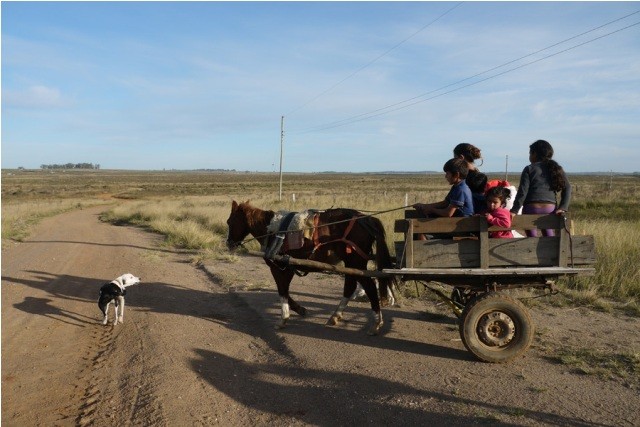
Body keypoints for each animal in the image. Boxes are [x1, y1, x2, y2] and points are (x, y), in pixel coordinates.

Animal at [226, 200, 396, 335]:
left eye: (229, 221)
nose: (229, 243)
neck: (272, 230)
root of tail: (367, 219)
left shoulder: (279, 268)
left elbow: (282, 291)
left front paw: (284, 318)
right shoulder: (288, 268)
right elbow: (285, 292)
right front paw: (299, 309)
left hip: (356, 261)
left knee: (369, 287)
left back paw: (376, 323)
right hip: (351, 262)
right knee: (350, 286)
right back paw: (335, 316)